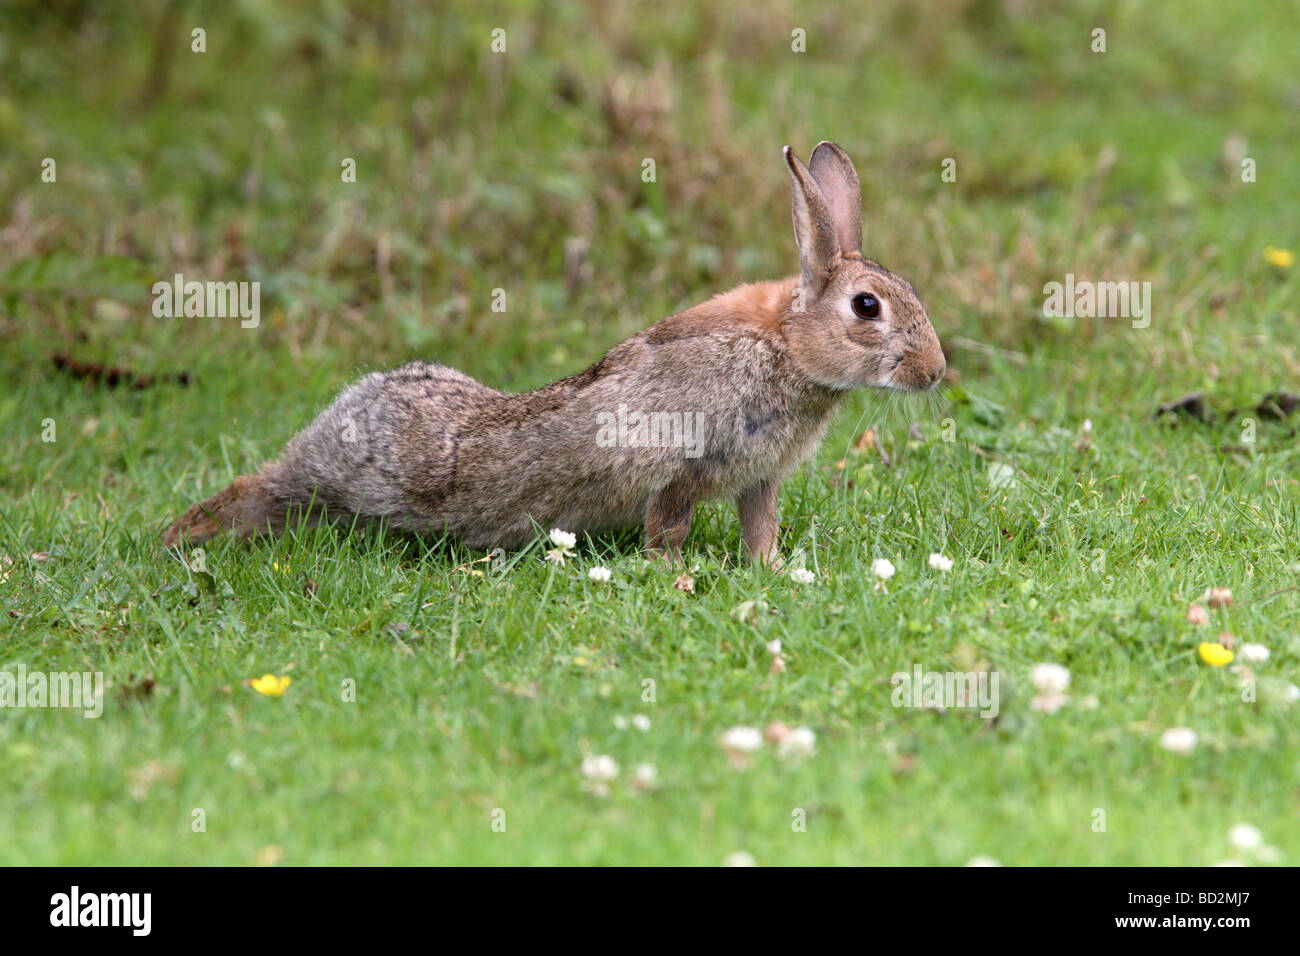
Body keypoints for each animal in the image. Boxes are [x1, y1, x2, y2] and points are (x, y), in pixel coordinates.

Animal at [167, 141, 951, 561]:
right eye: (867, 307)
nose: (935, 372)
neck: (785, 348)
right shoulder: (681, 462)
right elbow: (668, 523)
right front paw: (674, 577)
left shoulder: (757, 478)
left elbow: (760, 526)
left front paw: (771, 570)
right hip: (346, 481)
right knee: (266, 487)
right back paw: (182, 535)